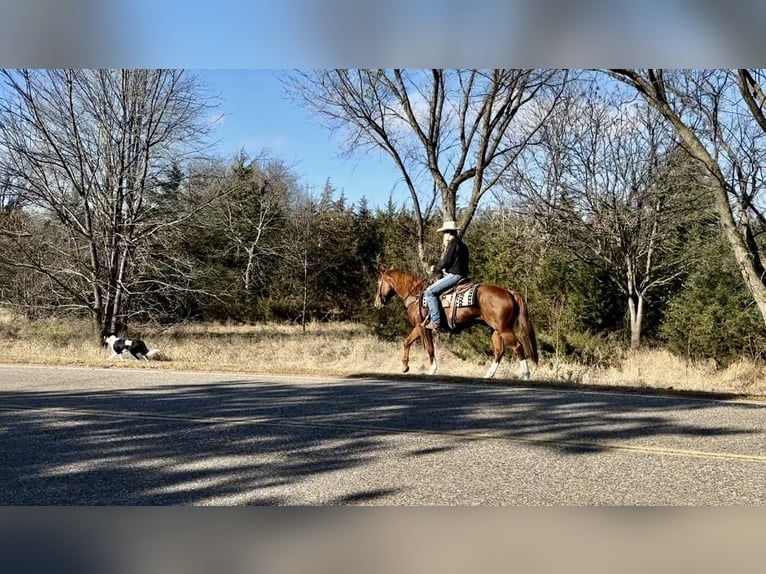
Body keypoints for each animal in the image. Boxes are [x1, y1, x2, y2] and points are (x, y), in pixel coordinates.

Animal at [376, 268, 544, 382]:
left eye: (379, 283)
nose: (377, 303)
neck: (416, 296)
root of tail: (509, 292)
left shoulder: (421, 327)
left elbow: (428, 348)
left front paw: (431, 370)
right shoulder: (421, 328)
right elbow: (408, 342)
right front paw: (405, 367)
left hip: (504, 329)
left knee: (517, 346)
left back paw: (526, 375)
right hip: (496, 330)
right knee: (499, 351)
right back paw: (488, 374)